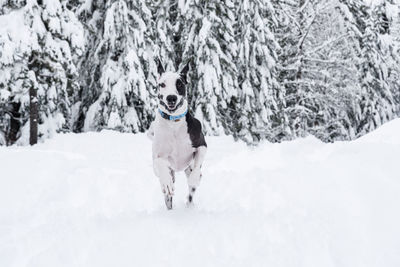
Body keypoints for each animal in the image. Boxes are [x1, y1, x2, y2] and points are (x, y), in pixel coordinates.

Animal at [148, 59, 208, 210]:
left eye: (179, 84)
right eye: (162, 84)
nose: (171, 98)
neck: (174, 123)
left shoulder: (202, 145)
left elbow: (197, 166)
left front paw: (194, 179)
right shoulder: (156, 158)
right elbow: (159, 163)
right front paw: (166, 182)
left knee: (191, 194)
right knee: (168, 197)